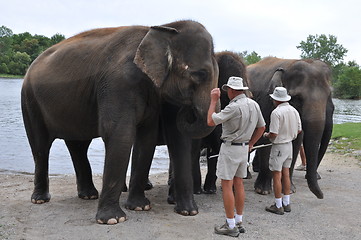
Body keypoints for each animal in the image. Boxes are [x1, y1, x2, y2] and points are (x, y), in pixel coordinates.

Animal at [21, 19, 218, 224]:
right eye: (199, 74)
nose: (188, 109)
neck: (162, 27)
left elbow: (150, 138)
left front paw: (146, 208)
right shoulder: (118, 83)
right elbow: (120, 134)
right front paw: (112, 219)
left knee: (78, 146)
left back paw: (89, 195)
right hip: (30, 101)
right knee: (40, 146)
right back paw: (40, 199)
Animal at [246, 56, 334, 199]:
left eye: (328, 96)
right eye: (297, 98)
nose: (321, 196)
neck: (290, 64)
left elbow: (296, 142)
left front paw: (289, 189)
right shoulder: (266, 103)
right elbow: (266, 137)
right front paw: (262, 190)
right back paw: (247, 176)